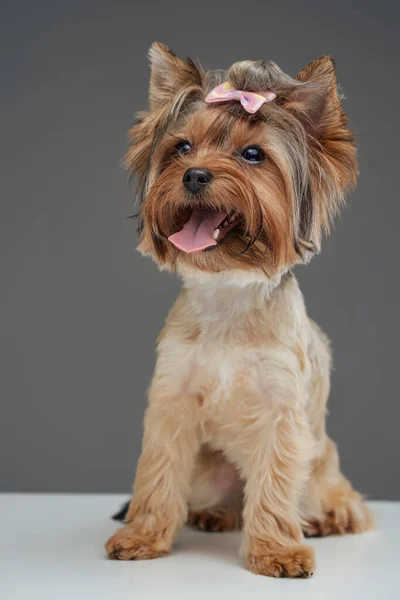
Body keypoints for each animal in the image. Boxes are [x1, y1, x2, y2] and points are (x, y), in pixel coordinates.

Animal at [104, 42, 374, 576]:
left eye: (253, 155)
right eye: (182, 148)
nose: (194, 174)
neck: (228, 288)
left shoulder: (281, 411)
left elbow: (274, 480)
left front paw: (278, 551)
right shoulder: (172, 399)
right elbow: (158, 472)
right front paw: (143, 535)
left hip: (321, 464)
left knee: (335, 499)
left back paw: (323, 520)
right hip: (209, 471)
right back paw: (216, 514)